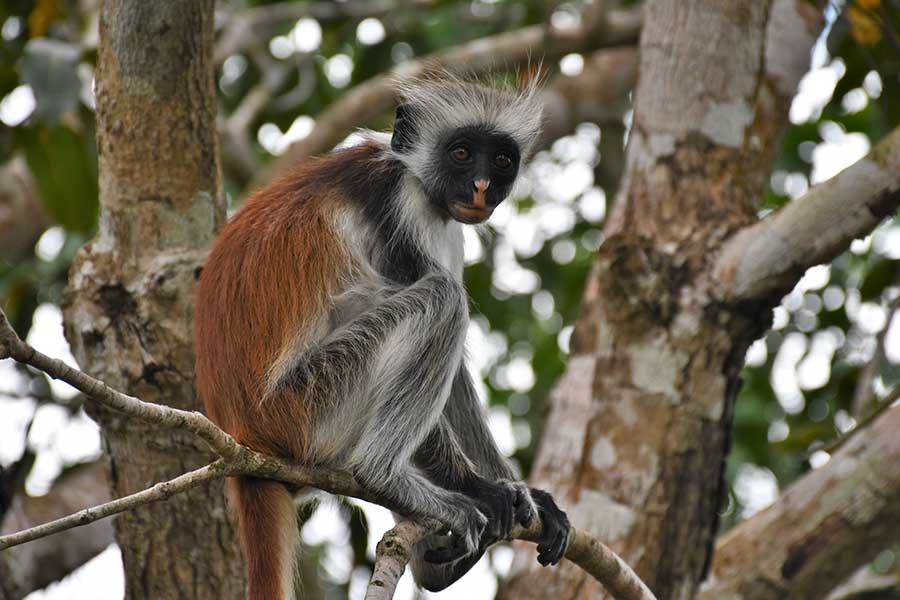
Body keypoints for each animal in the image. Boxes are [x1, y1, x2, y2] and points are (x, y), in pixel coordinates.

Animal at [194, 77, 570, 600]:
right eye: (460, 153)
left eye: (501, 160)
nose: (480, 187)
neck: (412, 177)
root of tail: (242, 433)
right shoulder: (399, 209)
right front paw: (483, 488)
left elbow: (456, 378)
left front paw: (520, 492)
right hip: (309, 404)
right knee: (442, 299)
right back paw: (385, 476)